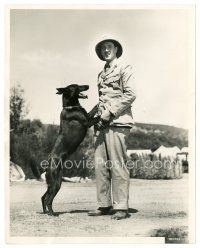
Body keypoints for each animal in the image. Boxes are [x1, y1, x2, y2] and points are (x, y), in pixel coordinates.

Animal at [40, 83, 100, 215]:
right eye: (76, 86)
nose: (87, 85)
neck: (71, 107)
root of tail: (48, 164)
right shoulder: (87, 121)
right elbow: (97, 117)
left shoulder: (88, 115)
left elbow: (93, 109)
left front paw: (99, 103)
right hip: (55, 183)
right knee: (48, 199)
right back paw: (52, 213)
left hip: (55, 182)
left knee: (43, 197)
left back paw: (46, 212)